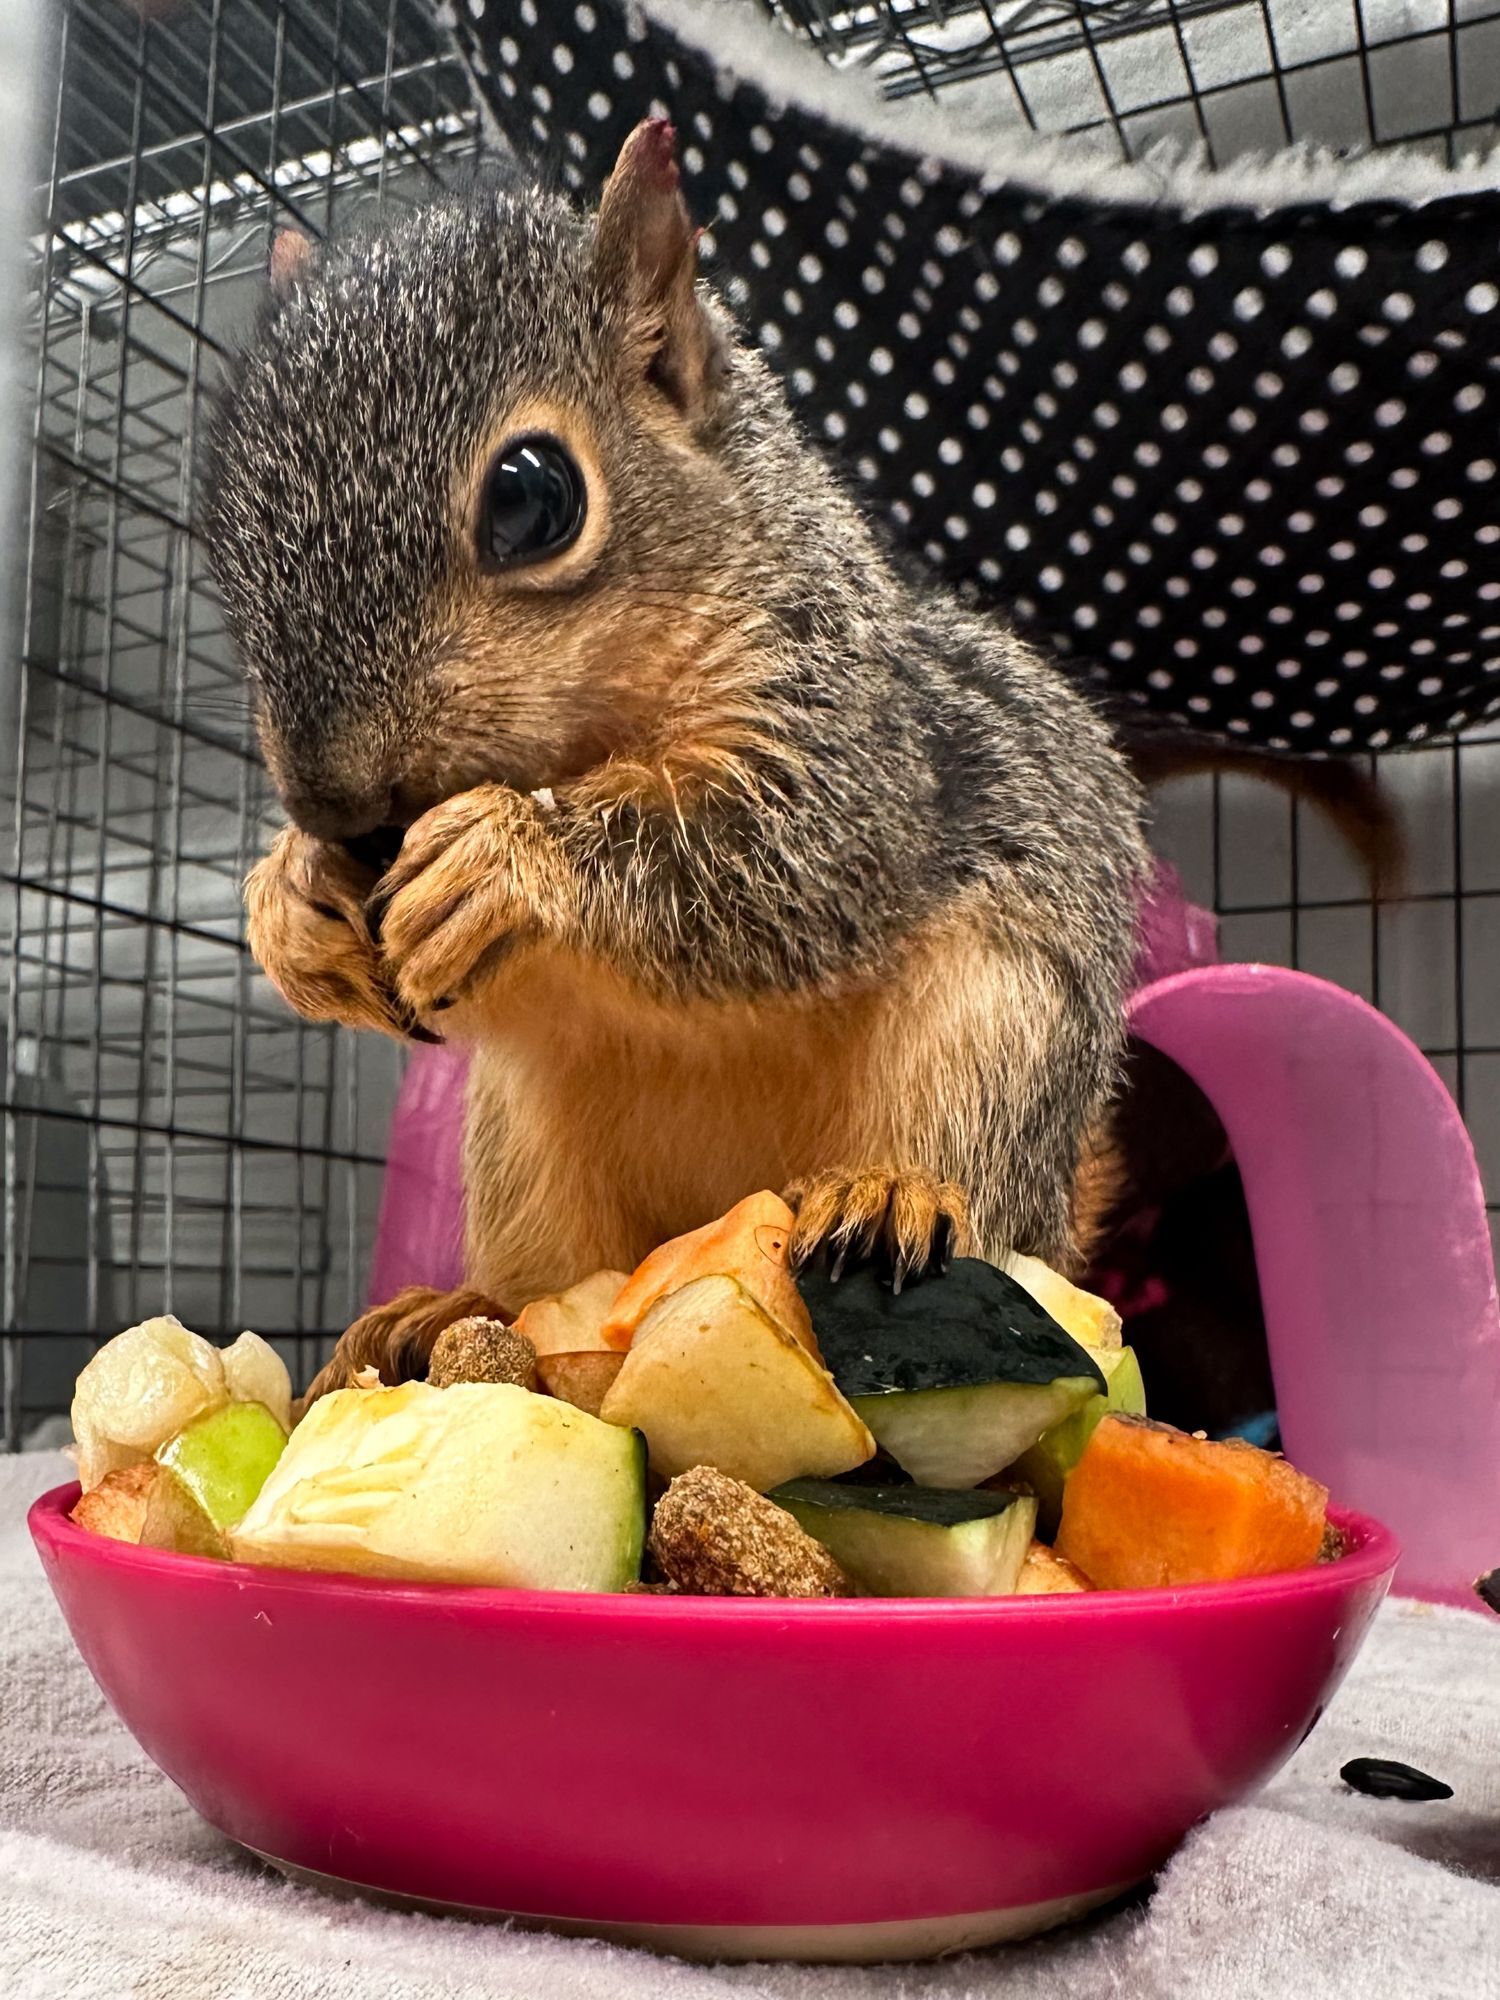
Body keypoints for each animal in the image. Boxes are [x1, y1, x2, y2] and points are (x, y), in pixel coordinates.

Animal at [201, 118, 1155, 1395]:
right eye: (229, 536)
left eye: (532, 497)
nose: (334, 801)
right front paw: (295, 901)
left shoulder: (854, 735)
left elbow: (785, 857)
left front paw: (509, 853)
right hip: (523, 1149)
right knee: (543, 1282)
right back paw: (449, 1309)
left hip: (997, 1031)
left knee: (972, 1170)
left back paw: (895, 1191)